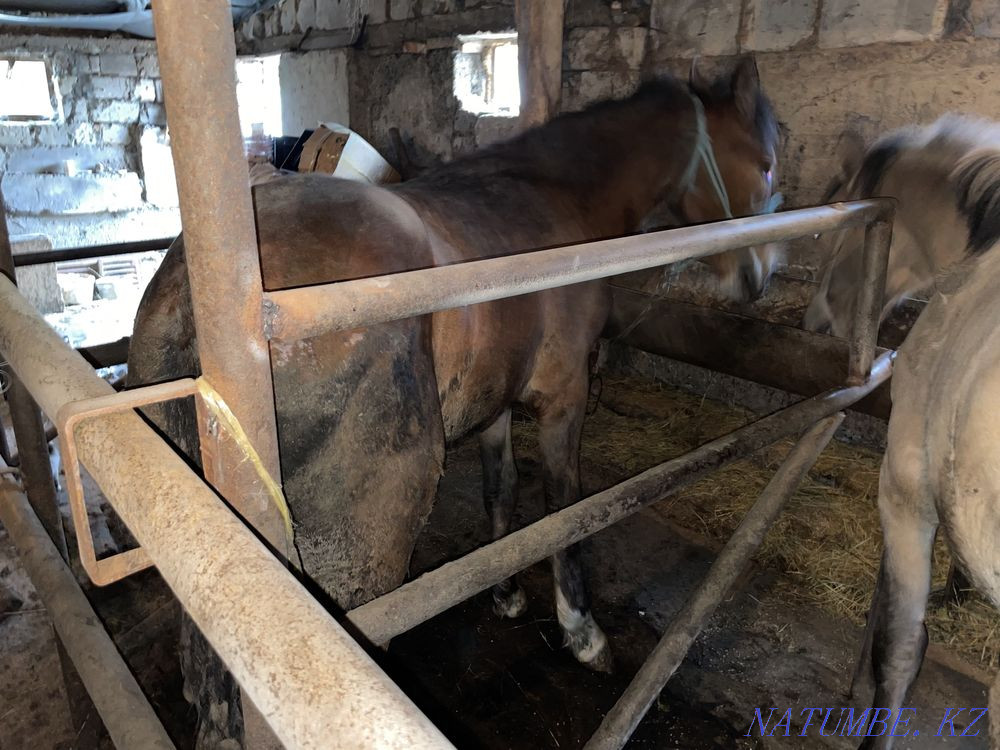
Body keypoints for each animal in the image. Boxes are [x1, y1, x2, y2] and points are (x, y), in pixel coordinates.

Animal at [128, 56, 780, 747]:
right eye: (765, 164)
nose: (762, 274)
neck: (555, 202)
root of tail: (202, 309)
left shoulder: (496, 404)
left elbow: (501, 491)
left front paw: (505, 592)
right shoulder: (564, 398)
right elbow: (564, 508)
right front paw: (582, 633)